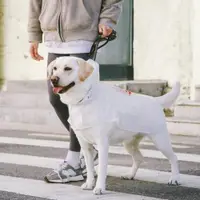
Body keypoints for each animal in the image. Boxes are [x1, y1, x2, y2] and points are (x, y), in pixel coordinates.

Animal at [48, 56, 181, 195]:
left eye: (68, 68)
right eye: (55, 68)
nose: (53, 79)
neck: (84, 99)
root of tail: (155, 100)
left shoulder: (102, 144)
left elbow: (102, 169)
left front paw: (99, 188)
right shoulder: (85, 146)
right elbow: (89, 169)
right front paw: (89, 184)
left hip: (160, 141)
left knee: (174, 157)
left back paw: (175, 178)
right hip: (129, 143)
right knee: (139, 158)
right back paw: (130, 175)